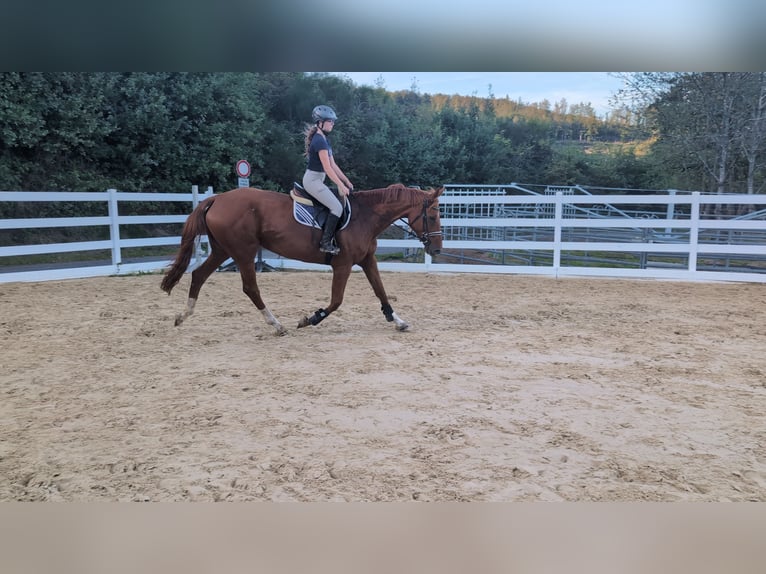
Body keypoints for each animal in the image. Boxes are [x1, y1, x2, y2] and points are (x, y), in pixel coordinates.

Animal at [160, 184, 444, 335]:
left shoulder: (367, 260)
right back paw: (276, 325)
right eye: (432, 216)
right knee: (250, 287)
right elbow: (336, 301)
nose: (438, 249)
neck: (365, 216)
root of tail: (217, 198)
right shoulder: (343, 265)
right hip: (243, 252)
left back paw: (183, 316)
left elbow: (381, 291)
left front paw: (397, 320)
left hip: (222, 250)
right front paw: (310, 318)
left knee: (198, 275)